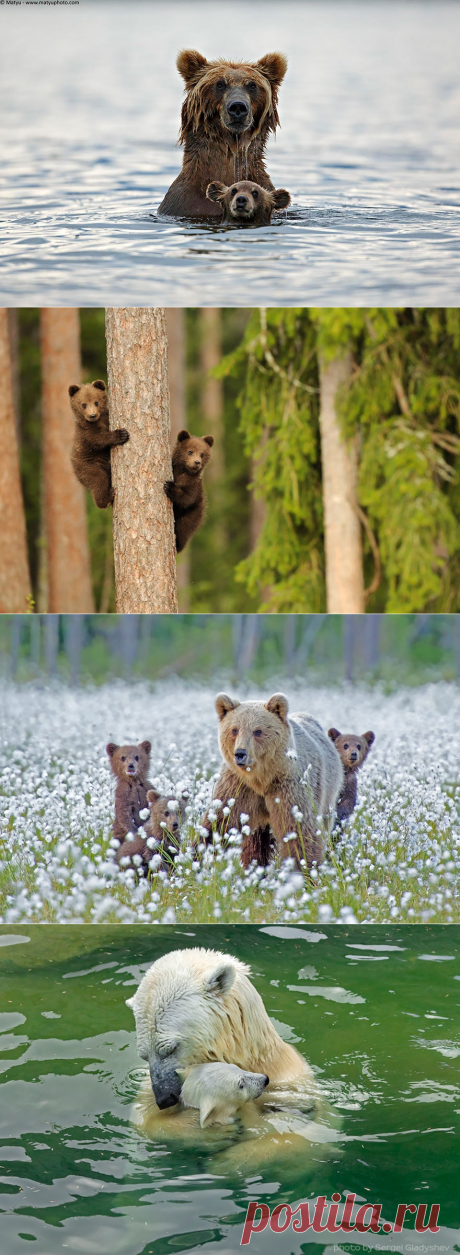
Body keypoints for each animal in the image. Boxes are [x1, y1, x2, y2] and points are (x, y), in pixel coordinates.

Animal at [68, 379, 129, 507]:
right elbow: (97, 439)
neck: (98, 421)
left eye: (96, 402)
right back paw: (107, 497)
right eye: (84, 404)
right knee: (98, 480)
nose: (92, 415)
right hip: (86, 467)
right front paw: (121, 434)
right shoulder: (86, 432)